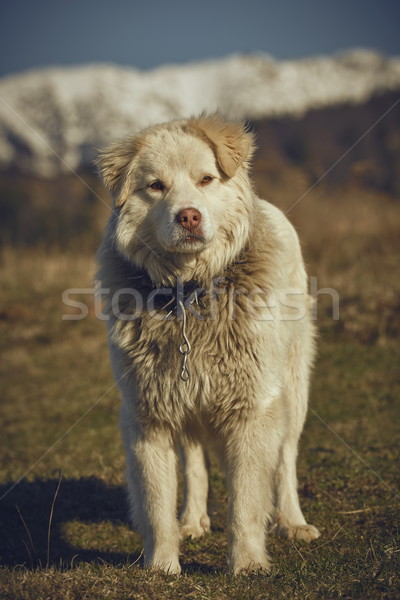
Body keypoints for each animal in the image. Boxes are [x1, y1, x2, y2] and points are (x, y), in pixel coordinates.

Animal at [95, 115, 320, 576]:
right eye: (156, 186)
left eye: (206, 179)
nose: (189, 216)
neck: (189, 294)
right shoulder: (148, 414)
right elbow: (157, 502)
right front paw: (162, 567)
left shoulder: (252, 409)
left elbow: (246, 501)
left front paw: (247, 565)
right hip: (187, 401)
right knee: (195, 462)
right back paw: (193, 520)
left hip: (292, 390)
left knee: (286, 460)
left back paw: (293, 522)